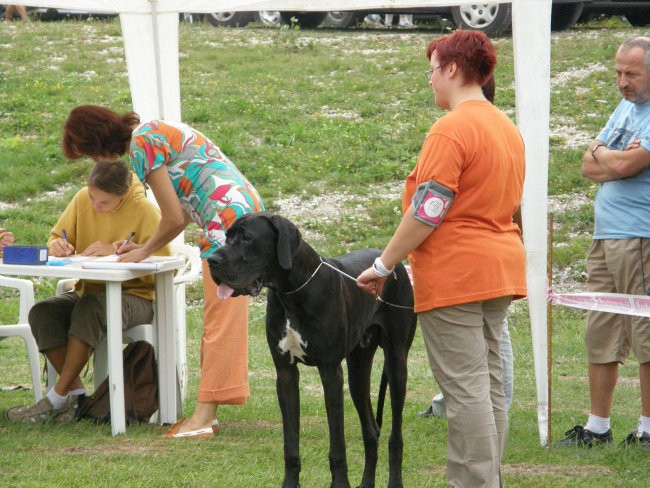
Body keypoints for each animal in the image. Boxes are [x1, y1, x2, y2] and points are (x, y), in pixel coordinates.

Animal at [208, 213, 416, 488]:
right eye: (227, 237)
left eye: (247, 238)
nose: (211, 260)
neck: (291, 292)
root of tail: (395, 264)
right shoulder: (285, 374)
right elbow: (290, 444)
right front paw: (289, 483)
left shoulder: (330, 372)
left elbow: (337, 445)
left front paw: (340, 484)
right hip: (358, 370)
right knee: (370, 431)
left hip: (396, 363)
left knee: (395, 435)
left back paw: (394, 480)